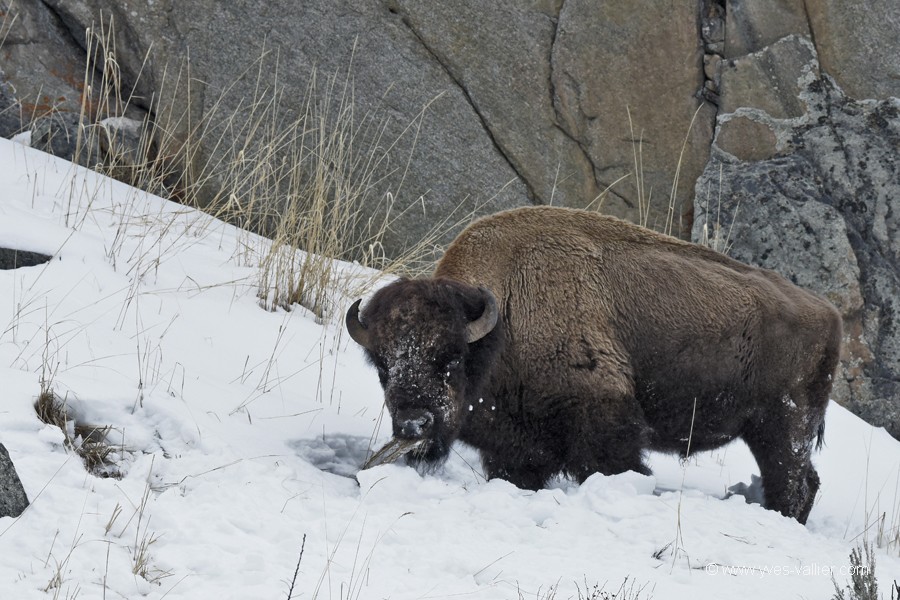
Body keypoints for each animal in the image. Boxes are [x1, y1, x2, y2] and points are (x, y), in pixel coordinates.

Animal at [346, 205, 844, 520]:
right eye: (383, 368)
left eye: (450, 359)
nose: (414, 423)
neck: (503, 320)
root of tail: (829, 313)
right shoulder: (515, 451)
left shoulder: (604, 424)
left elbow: (618, 466)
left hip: (784, 427)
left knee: (794, 484)